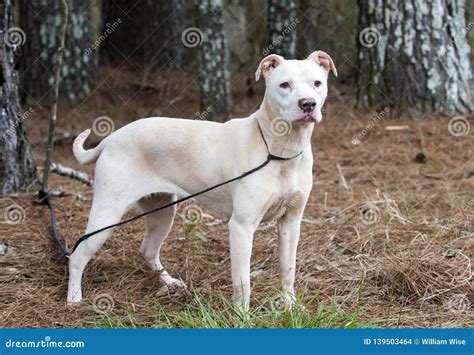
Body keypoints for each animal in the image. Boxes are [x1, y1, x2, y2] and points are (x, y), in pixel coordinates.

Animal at [68, 51, 338, 310]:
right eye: (284, 85)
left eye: (317, 83)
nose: (308, 104)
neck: (279, 149)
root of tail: (111, 138)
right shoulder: (241, 227)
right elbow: (243, 282)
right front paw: (242, 316)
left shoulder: (291, 222)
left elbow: (288, 270)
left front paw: (290, 306)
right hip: (107, 214)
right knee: (77, 255)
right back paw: (73, 299)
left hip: (162, 211)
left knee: (148, 250)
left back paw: (169, 282)